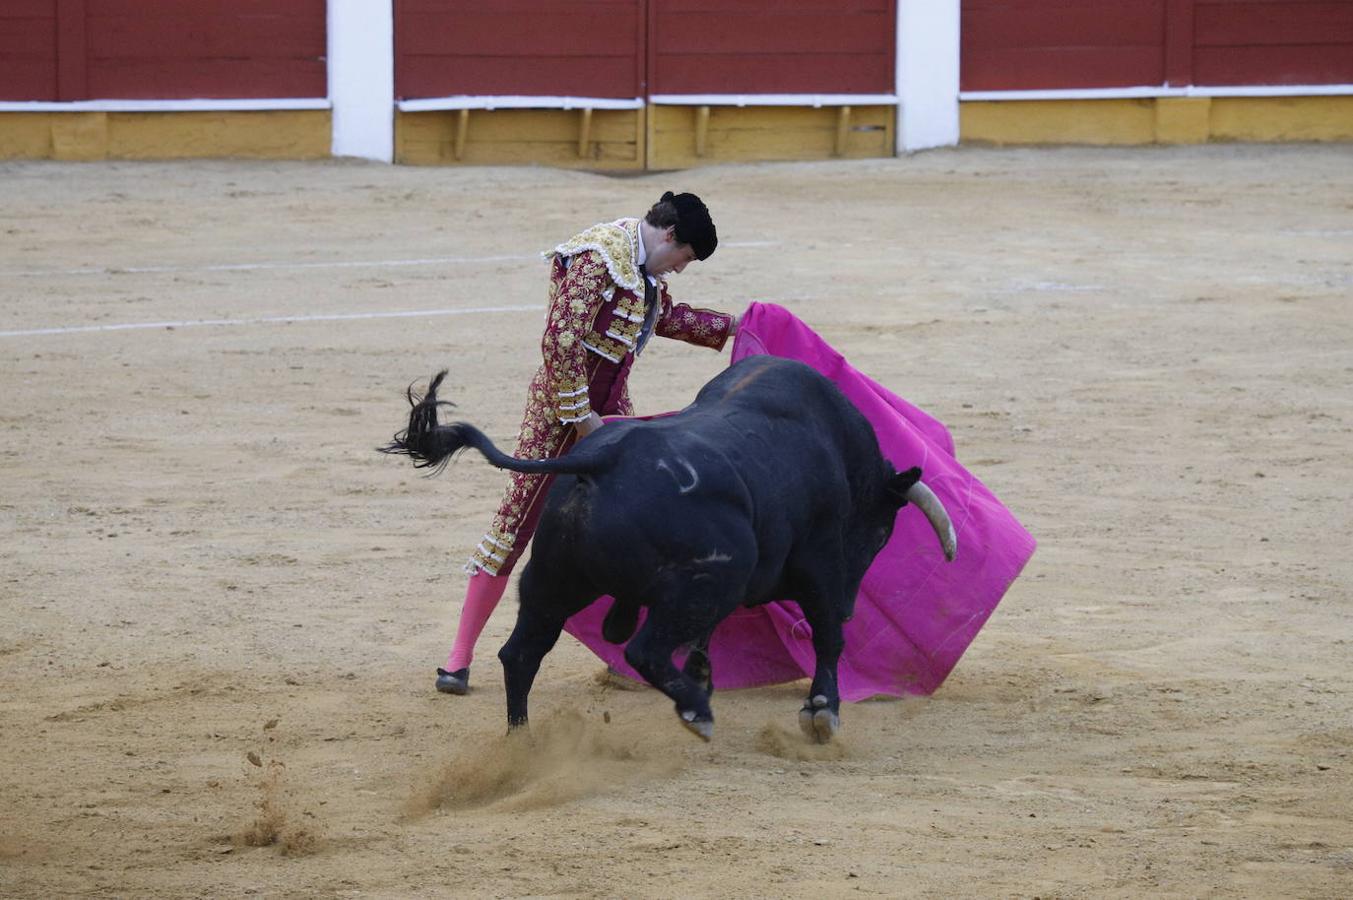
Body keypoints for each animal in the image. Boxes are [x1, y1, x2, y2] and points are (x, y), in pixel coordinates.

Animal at [378, 354, 952, 741]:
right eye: (881, 534)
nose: (858, 606)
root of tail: (600, 462)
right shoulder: (820, 564)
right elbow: (828, 634)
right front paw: (822, 711)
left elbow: (708, 638)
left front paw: (704, 675)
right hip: (702, 579)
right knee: (643, 650)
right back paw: (696, 712)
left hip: (553, 580)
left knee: (521, 652)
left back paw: (524, 741)